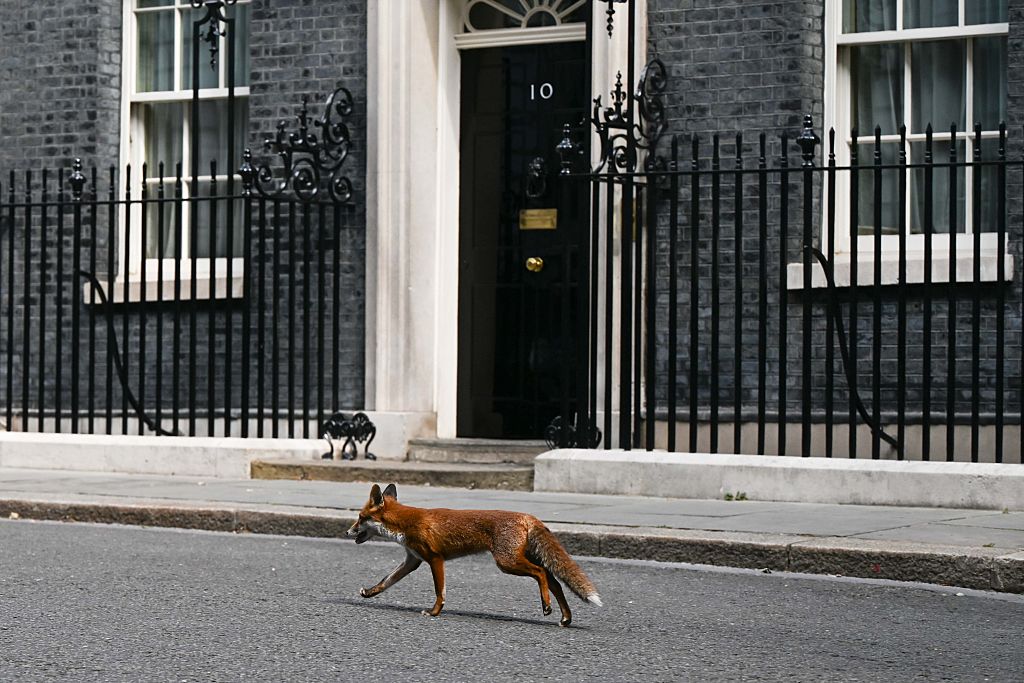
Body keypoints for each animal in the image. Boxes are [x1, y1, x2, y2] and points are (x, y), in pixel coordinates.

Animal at [346, 483, 602, 626]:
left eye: (359, 518)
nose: (347, 531)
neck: (406, 522)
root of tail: (527, 516)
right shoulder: (413, 560)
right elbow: (385, 581)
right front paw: (369, 593)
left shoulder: (435, 559)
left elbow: (440, 592)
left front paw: (434, 612)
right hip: (517, 560)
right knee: (555, 582)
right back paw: (565, 618)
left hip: (506, 562)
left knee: (541, 574)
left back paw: (547, 607)